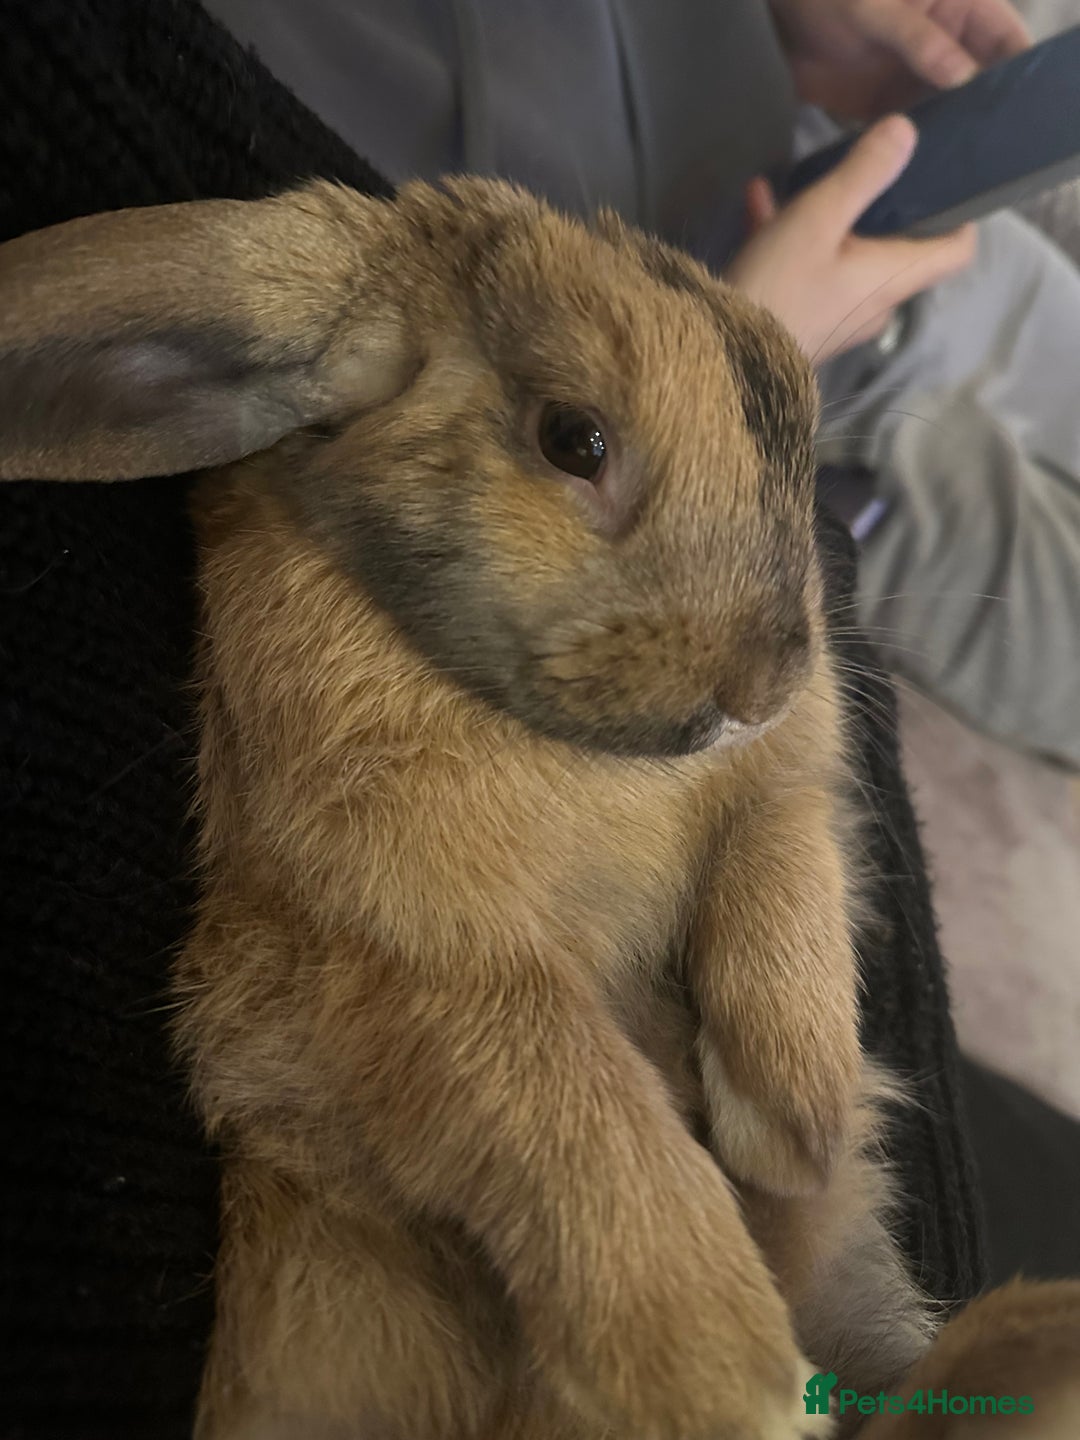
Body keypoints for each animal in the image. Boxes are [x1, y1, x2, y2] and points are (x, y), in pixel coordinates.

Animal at [3, 175, 1076, 1440]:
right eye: (576, 438)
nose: (761, 685)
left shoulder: (784, 788)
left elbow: (780, 858)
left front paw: (790, 1119)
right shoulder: (384, 967)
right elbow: (567, 1096)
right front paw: (729, 1378)